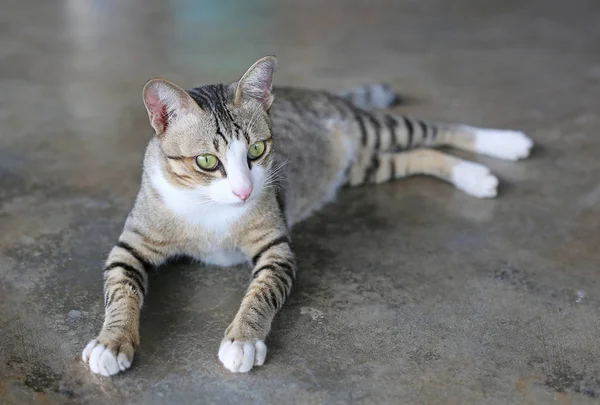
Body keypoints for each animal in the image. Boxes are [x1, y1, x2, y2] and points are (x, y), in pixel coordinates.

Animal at [81, 55, 536, 374]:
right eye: (207, 161)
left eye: (257, 150)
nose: (245, 190)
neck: (211, 211)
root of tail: (314, 91)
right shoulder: (131, 244)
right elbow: (121, 290)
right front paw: (111, 342)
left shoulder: (276, 247)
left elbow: (262, 292)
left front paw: (243, 340)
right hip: (362, 165)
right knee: (418, 154)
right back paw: (473, 174)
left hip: (372, 129)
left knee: (436, 129)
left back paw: (504, 144)